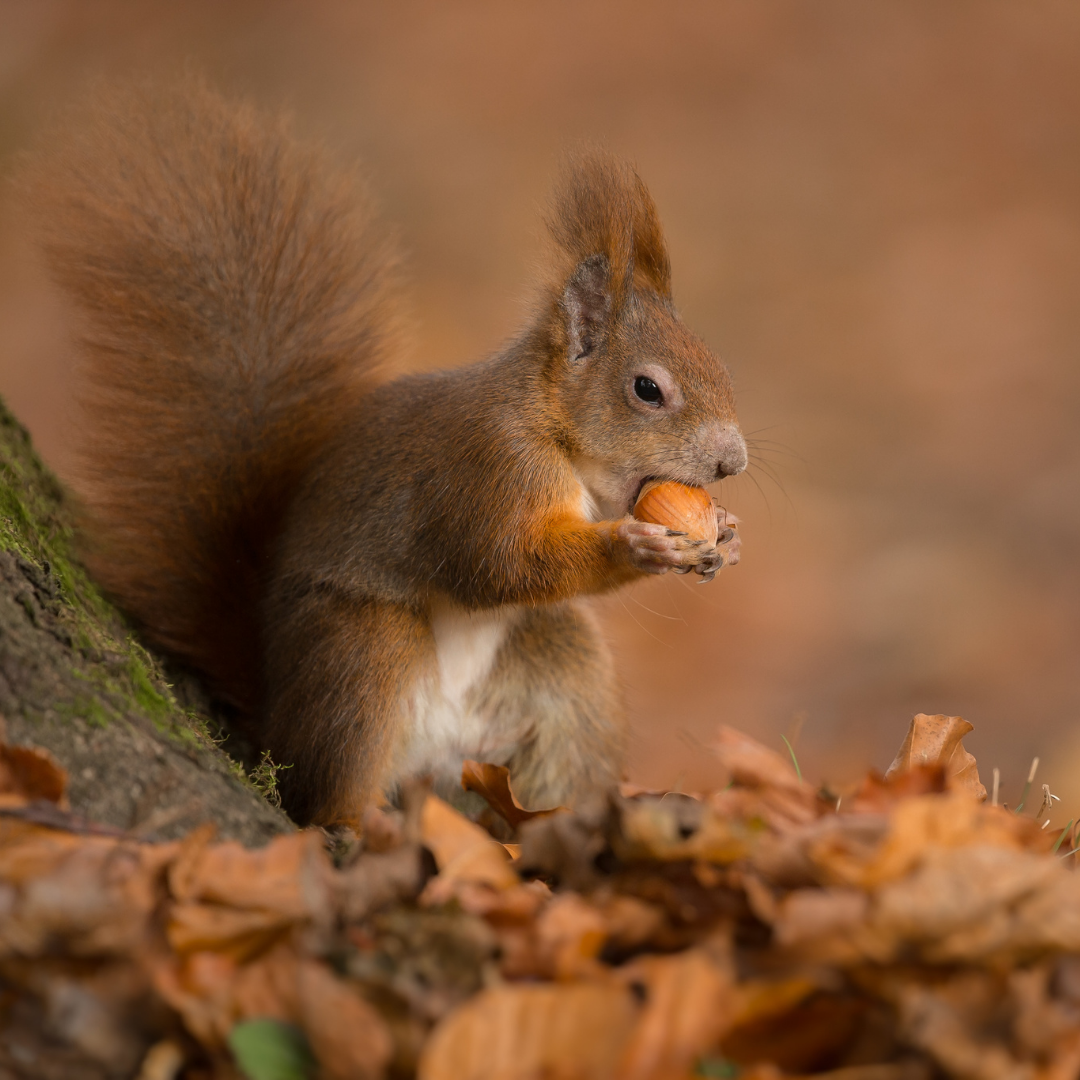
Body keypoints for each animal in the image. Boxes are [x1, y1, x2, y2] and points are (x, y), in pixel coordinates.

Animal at [21, 79, 746, 827]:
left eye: (721, 368)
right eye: (647, 389)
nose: (734, 463)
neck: (558, 436)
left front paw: (724, 534)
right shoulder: (487, 468)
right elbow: (502, 563)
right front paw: (636, 546)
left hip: (567, 674)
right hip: (364, 651)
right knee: (328, 789)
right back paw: (366, 820)